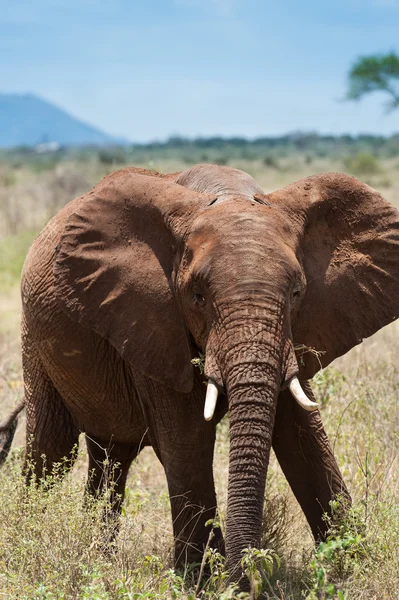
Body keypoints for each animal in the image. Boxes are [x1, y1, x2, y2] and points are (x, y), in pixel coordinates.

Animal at [0, 162, 399, 588]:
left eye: (296, 293)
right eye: (197, 296)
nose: (251, 581)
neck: (228, 192)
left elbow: (303, 435)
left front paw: (349, 566)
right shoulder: (152, 321)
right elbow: (188, 440)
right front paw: (204, 583)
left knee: (110, 456)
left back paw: (96, 556)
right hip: (35, 337)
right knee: (52, 448)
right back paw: (35, 543)